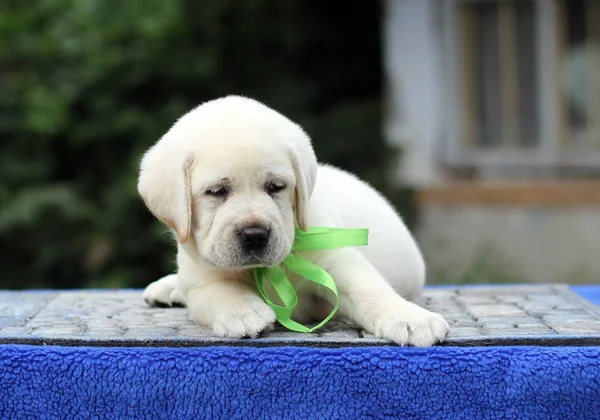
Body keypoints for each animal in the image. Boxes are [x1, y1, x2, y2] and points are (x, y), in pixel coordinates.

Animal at [138, 96, 448, 348]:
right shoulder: (201, 281)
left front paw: (411, 318)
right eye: (216, 191)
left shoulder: (334, 259)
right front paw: (244, 313)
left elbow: (369, 290)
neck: (263, 271)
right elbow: (222, 290)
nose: (255, 234)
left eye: (276, 186)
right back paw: (168, 287)